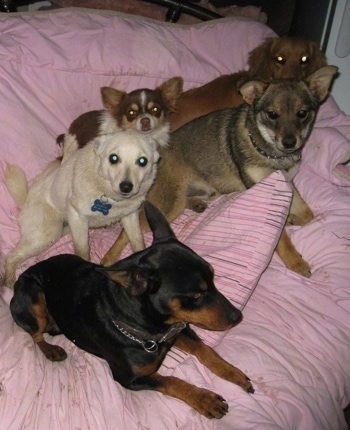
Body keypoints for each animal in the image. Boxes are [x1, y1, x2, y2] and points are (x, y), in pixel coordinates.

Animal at [4, 131, 160, 288]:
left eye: (142, 161)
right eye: (113, 158)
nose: (126, 187)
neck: (109, 197)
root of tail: (26, 201)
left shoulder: (130, 216)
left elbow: (138, 242)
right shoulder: (77, 218)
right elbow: (83, 251)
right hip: (49, 233)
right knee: (11, 256)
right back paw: (9, 281)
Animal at [9, 202, 253, 420]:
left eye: (213, 277)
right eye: (195, 296)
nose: (237, 316)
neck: (151, 326)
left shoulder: (176, 327)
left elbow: (205, 350)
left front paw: (232, 372)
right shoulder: (130, 378)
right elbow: (172, 381)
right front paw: (206, 400)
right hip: (32, 294)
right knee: (35, 334)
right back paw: (51, 350)